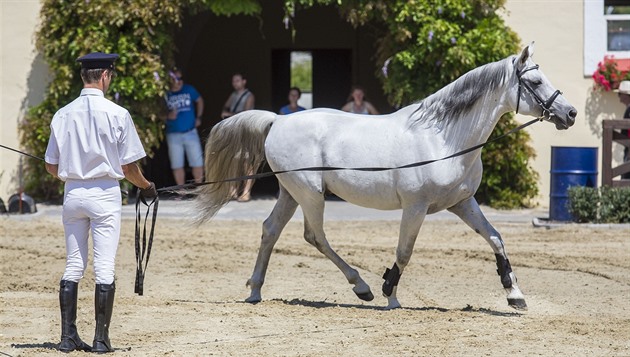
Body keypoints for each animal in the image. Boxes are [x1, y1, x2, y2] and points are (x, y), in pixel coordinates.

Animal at [196, 42, 576, 308]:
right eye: (536, 80)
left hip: (291, 193)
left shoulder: (463, 203)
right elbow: (404, 251)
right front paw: (389, 293)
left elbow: (496, 238)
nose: (569, 113)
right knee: (314, 236)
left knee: (270, 230)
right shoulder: (416, 207)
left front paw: (515, 295)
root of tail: (278, 119)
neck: (443, 138)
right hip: (310, 194)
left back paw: (255, 290)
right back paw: (361, 287)